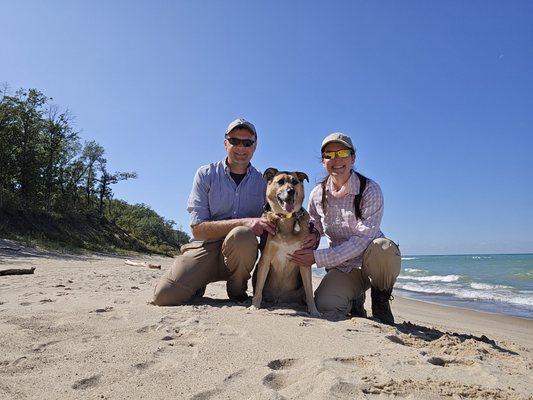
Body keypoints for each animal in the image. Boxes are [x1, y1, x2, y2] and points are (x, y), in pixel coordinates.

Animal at [249, 167, 320, 318]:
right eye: (280, 181)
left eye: (295, 182)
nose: (291, 191)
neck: (286, 218)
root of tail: (280, 299)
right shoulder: (265, 260)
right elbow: (258, 289)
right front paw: (255, 306)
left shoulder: (303, 261)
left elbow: (309, 291)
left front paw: (314, 310)